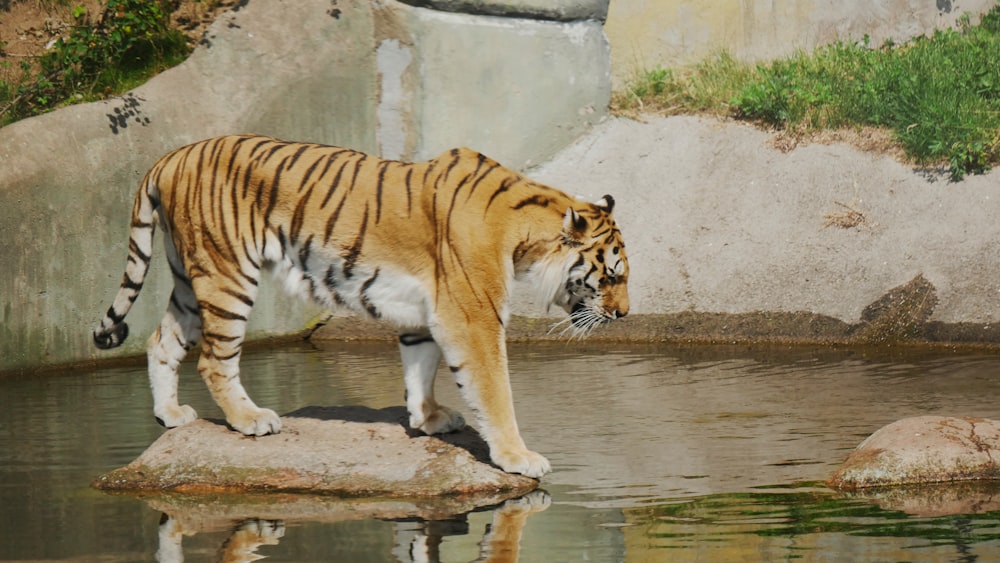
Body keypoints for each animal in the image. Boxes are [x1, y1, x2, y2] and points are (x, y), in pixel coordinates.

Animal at [92, 134, 624, 478]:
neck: (527, 235)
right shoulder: (474, 317)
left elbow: (420, 367)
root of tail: (170, 155)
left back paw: (170, 414)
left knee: (161, 340)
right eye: (613, 275)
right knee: (212, 359)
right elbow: (495, 392)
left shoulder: (426, 312)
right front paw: (520, 458)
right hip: (226, 275)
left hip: (189, 276)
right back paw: (251, 420)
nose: (622, 314)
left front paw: (429, 420)